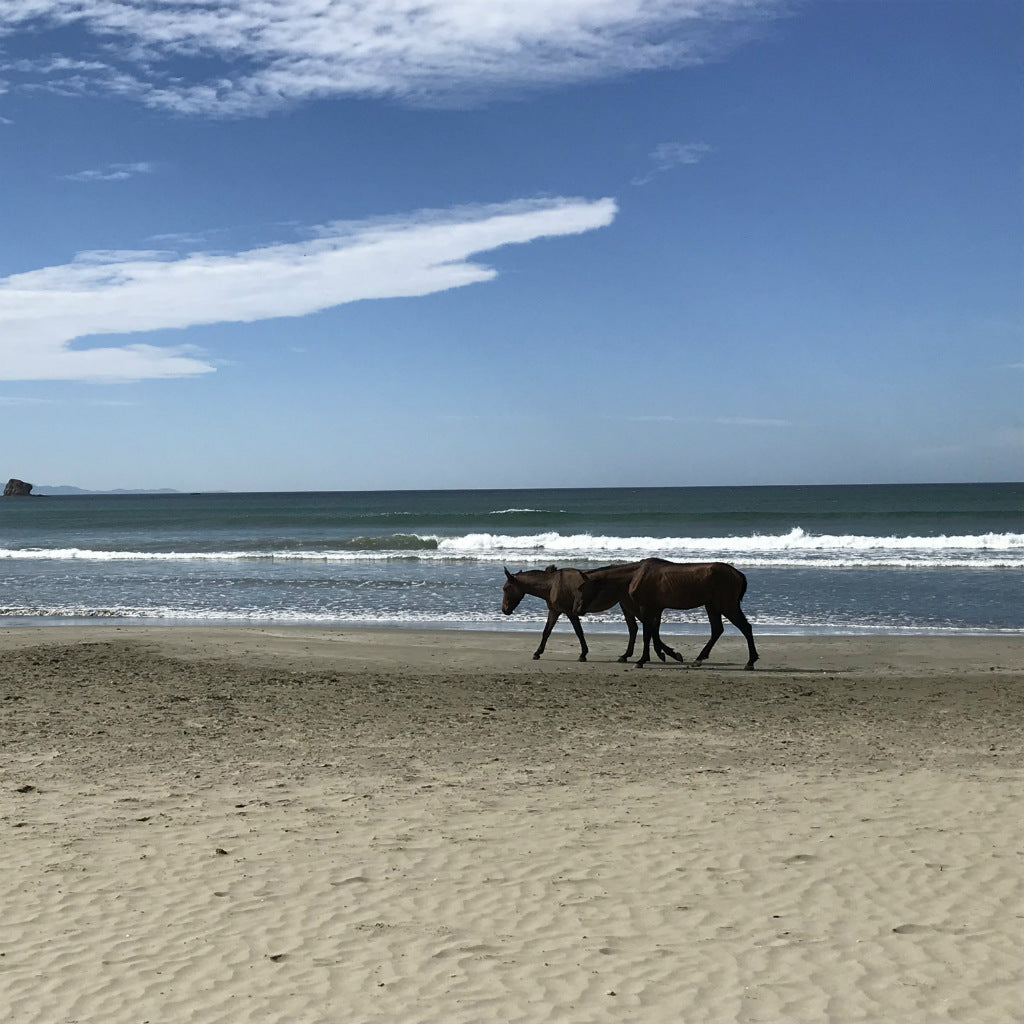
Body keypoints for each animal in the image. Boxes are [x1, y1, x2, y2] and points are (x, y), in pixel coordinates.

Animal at [501, 561, 643, 663]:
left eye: (506, 588)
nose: (504, 610)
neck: (552, 584)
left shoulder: (570, 612)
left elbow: (579, 632)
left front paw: (583, 654)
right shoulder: (554, 611)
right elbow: (546, 632)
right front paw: (537, 653)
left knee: (634, 627)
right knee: (633, 628)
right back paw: (626, 656)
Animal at [577, 557, 761, 667]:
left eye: (583, 588)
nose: (578, 610)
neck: (637, 574)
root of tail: (738, 574)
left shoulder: (646, 608)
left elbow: (647, 634)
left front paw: (642, 660)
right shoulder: (656, 609)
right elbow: (653, 632)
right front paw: (668, 654)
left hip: (727, 606)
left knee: (745, 628)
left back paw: (750, 661)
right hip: (712, 606)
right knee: (717, 630)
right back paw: (699, 659)